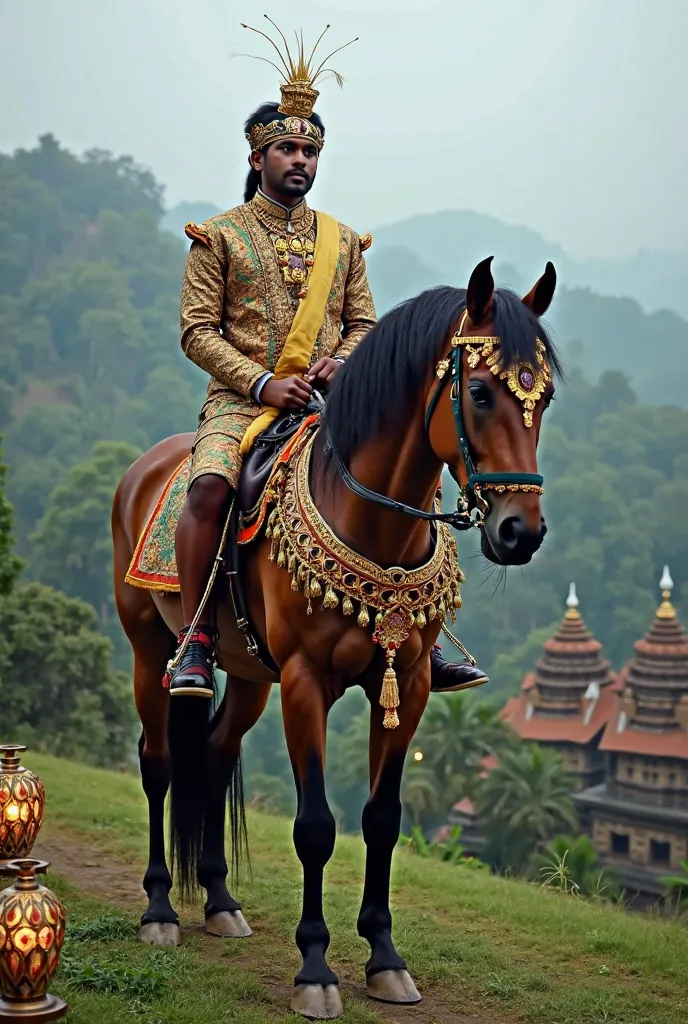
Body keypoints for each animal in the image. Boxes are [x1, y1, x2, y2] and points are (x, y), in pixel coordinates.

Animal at [110, 256, 556, 1015]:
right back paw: (161, 909)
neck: (374, 523)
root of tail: (147, 468)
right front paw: (316, 969)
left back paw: (221, 902)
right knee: (160, 762)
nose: (519, 532)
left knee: (216, 755)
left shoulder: (408, 685)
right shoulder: (304, 683)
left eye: (544, 398)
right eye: (479, 393)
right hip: (150, 650)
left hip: (249, 673)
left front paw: (384, 958)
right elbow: (316, 827)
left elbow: (382, 819)